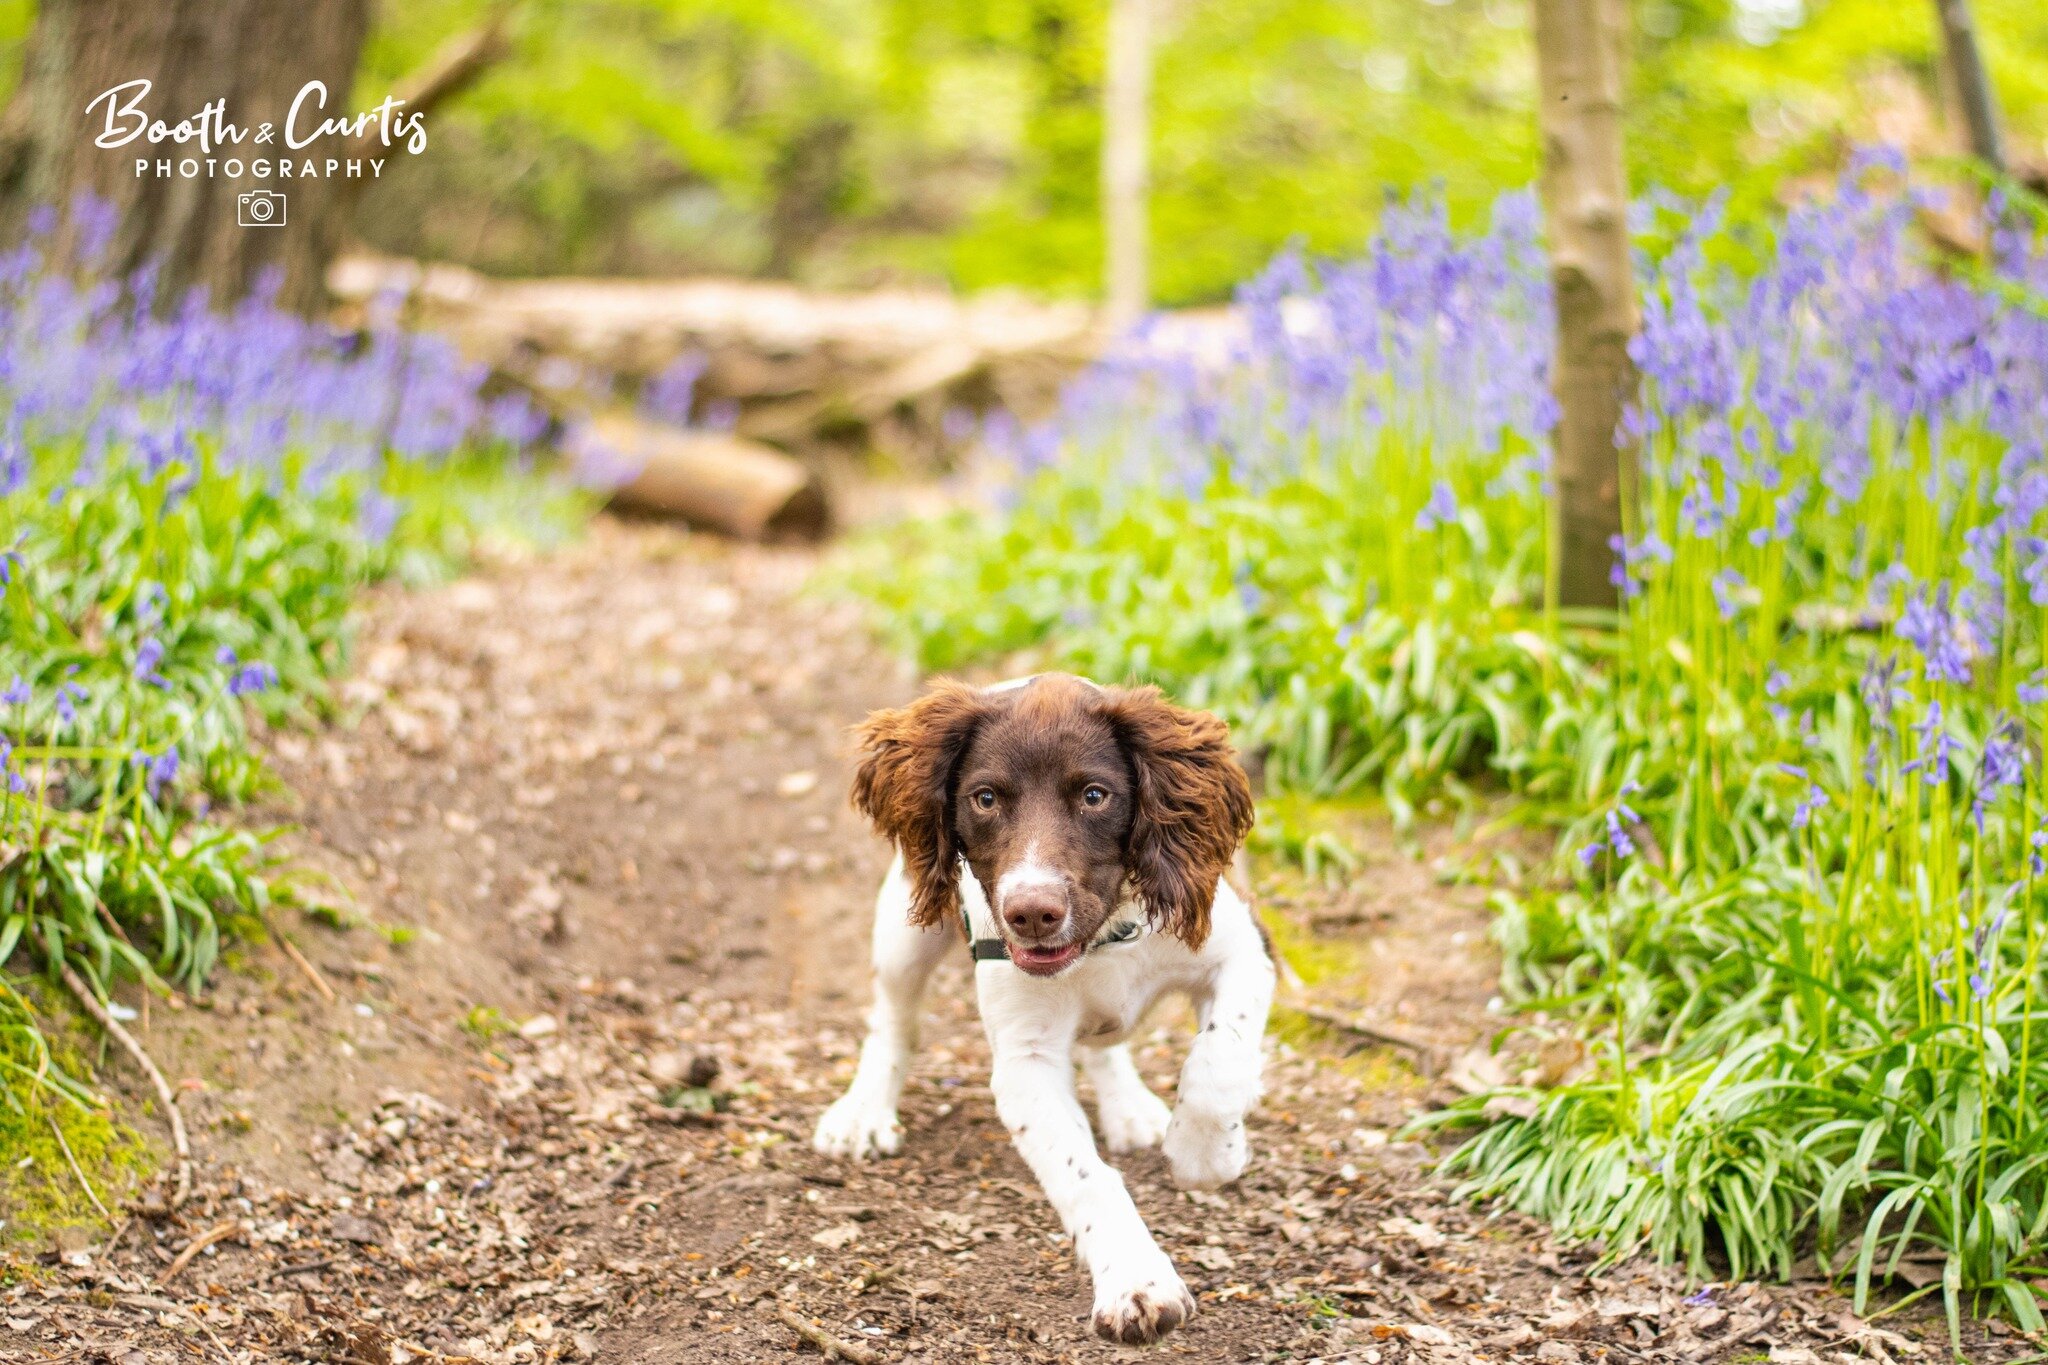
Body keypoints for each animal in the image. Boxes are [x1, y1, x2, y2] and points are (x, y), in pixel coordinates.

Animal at [811, 671, 1261, 1342]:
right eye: (985, 798)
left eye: (1096, 795)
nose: (1031, 912)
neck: (1101, 940)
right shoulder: (1025, 1062)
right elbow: (1085, 1177)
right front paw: (1136, 1282)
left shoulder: (1240, 950)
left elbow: (1219, 1062)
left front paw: (1204, 1157)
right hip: (905, 927)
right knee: (893, 1020)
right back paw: (863, 1113)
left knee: (1107, 1045)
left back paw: (1131, 1109)